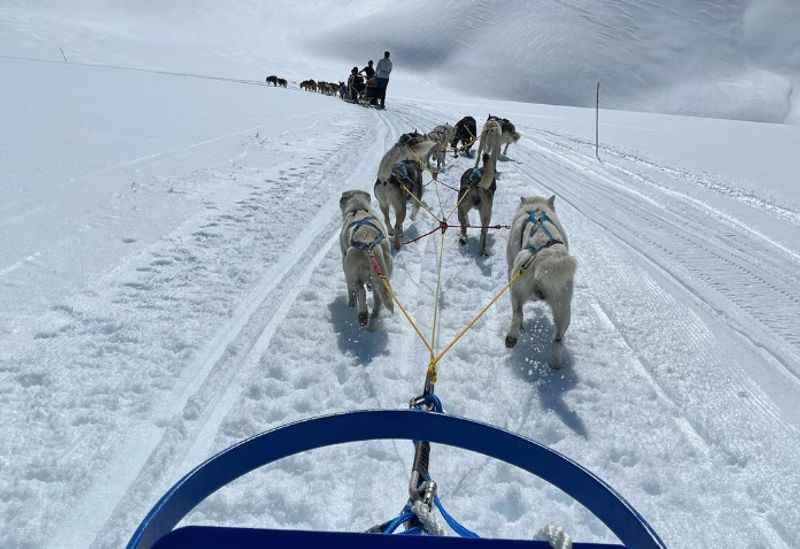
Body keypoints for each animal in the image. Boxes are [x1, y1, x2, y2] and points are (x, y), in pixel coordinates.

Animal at [338, 189, 394, 326]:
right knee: (378, 297)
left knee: (360, 290)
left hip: (350, 269)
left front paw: (351, 302)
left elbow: (351, 291)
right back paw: (373, 315)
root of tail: (369, 243)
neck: (358, 209)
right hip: (384, 274)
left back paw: (363, 315)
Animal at [506, 195, 576, 366]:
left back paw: (512, 337)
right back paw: (556, 364)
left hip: (516, 290)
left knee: (518, 314)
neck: (536, 207)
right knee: (558, 339)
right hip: (563, 308)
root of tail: (545, 256)